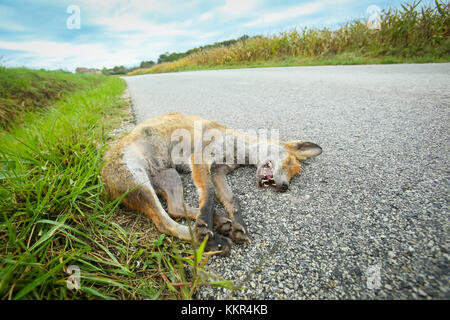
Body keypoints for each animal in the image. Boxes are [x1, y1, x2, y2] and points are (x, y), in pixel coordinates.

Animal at [100, 112, 322, 255]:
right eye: (289, 163)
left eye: (294, 175)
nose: (285, 187)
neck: (237, 151)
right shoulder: (200, 159)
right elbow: (209, 194)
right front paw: (206, 225)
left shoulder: (217, 172)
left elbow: (232, 200)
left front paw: (237, 225)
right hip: (141, 185)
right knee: (165, 224)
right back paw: (209, 239)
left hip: (171, 177)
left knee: (176, 208)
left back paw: (220, 222)